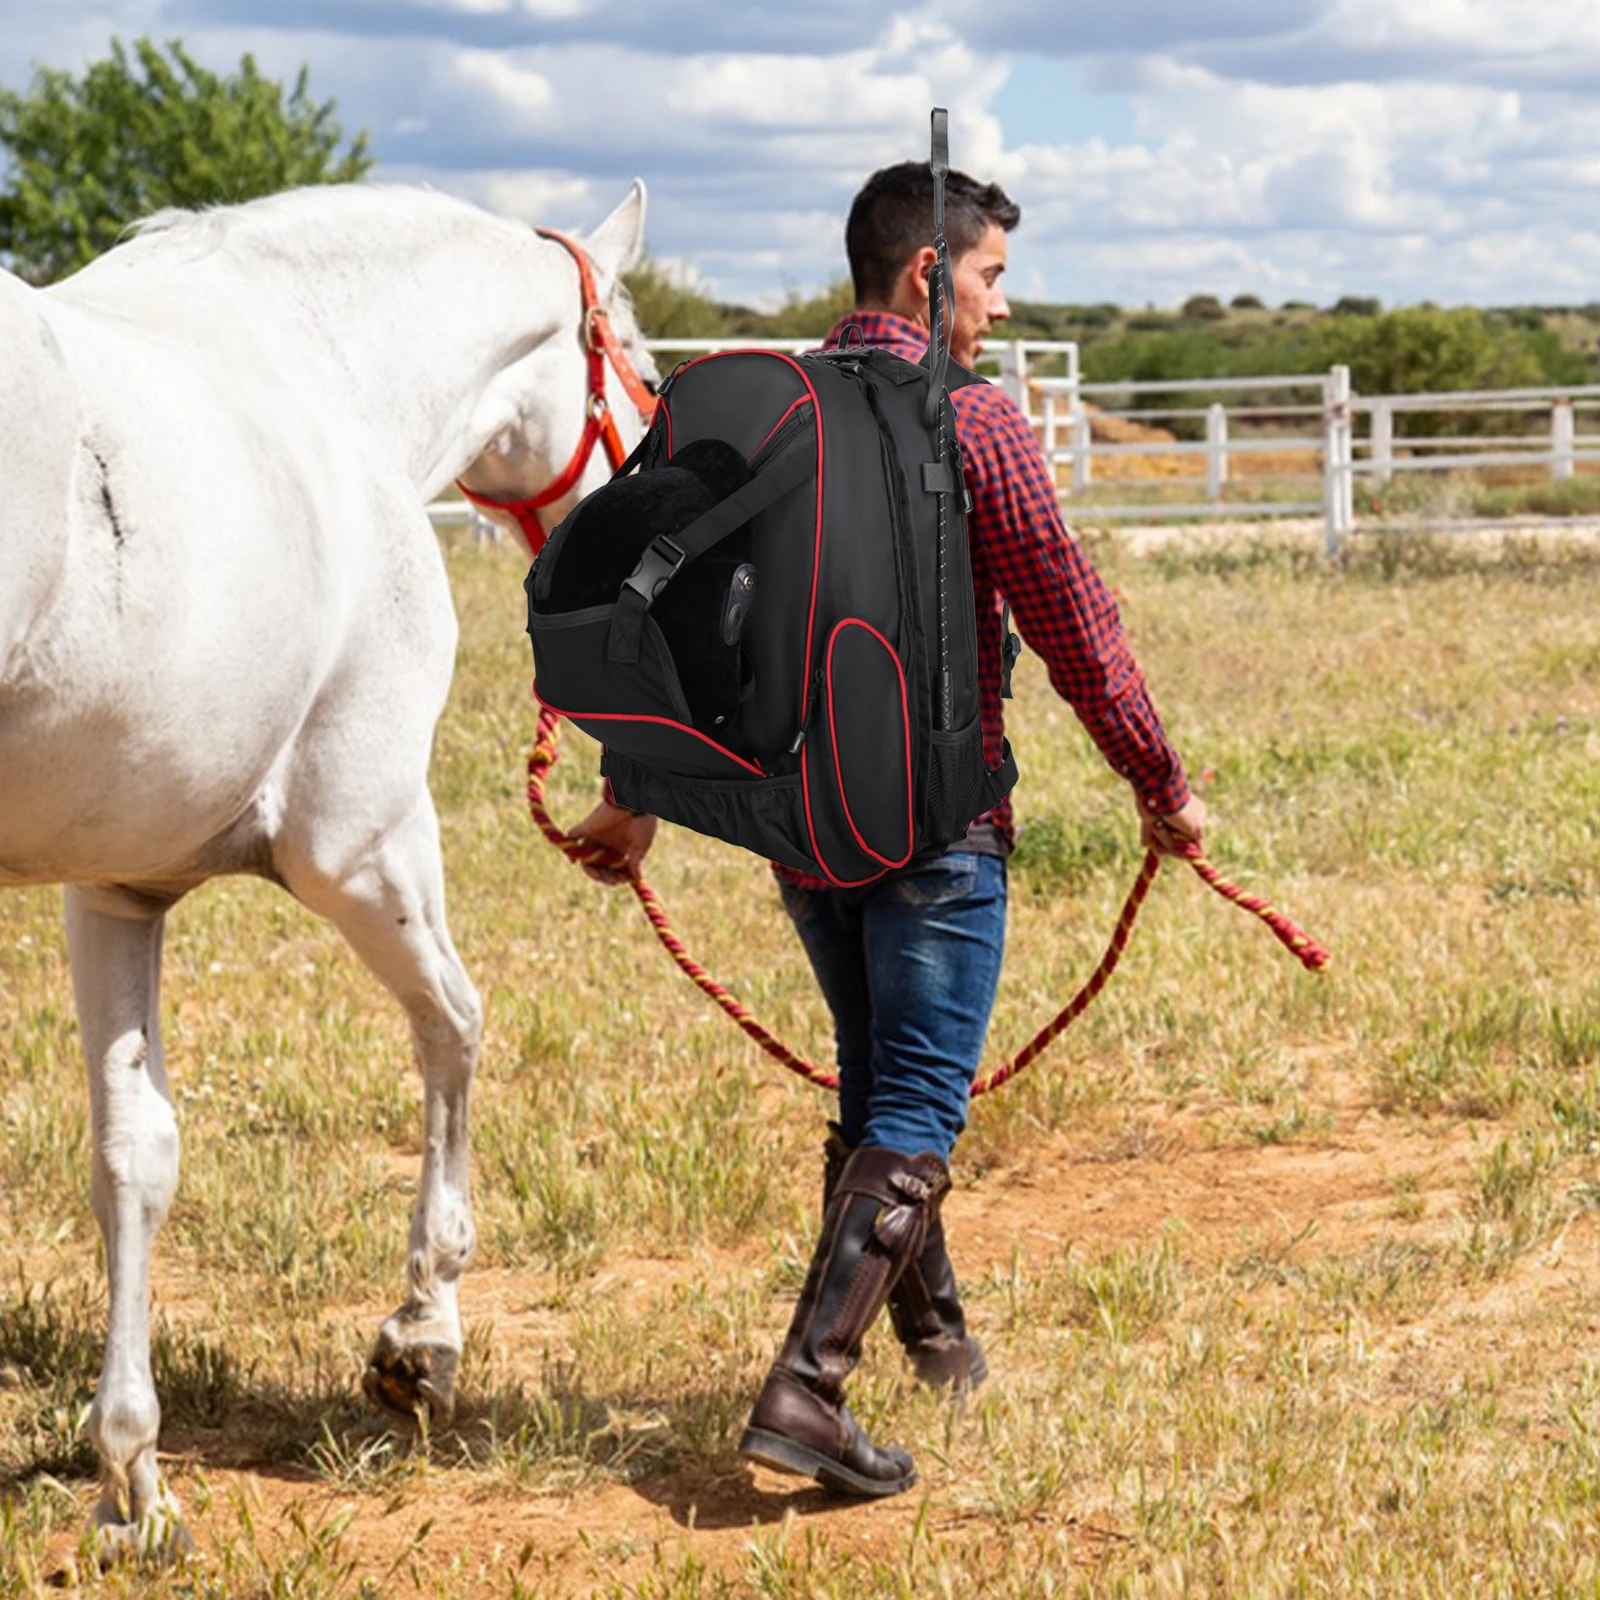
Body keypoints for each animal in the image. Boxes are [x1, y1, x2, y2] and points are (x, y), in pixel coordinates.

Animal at [0, 181, 656, 1555]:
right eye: (641, 364)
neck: (321, 366)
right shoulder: (363, 842)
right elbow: (456, 1029)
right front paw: (424, 1336)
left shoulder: (115, 888)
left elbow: (134, 1155)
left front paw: (133, 1473)